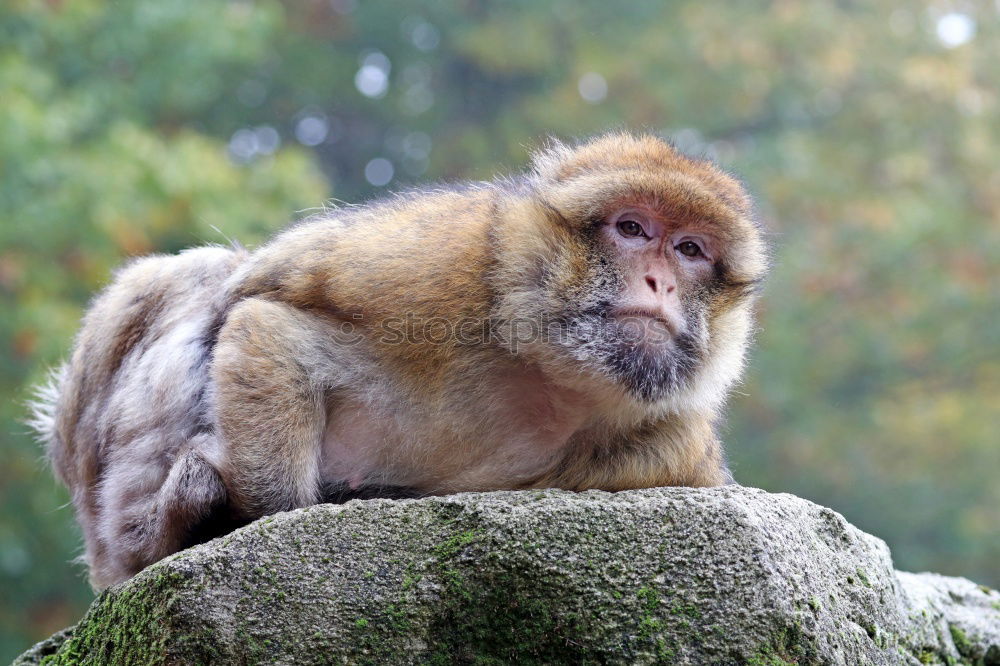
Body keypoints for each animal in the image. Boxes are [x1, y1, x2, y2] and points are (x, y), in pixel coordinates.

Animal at [31, 131, 764, 588]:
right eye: (632, 229)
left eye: (691, 250)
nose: (659, 282)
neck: (546, 371)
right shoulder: (438, 265)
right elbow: (267, 321)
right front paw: (260, 523)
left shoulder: (671, 445)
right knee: (203, 281)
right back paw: (159, 533)